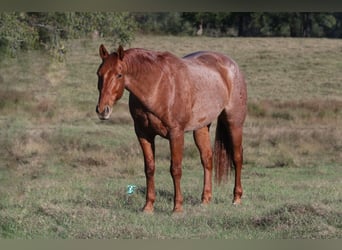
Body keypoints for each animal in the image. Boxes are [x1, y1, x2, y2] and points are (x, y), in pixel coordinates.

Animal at [95, 44, 247, 212]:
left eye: (119, 75)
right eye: (99, 73)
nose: (102, 110)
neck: (157, 86)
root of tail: (232, 66)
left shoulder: (176, 133)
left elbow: (176, 169)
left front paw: (177, 207)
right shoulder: (143, 134)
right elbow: (149, 168)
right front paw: (148, 206)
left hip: (234, 123)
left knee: (237, 157)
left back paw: (236, 198)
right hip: (201, 128)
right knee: (207, 159)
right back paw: (205, 200)